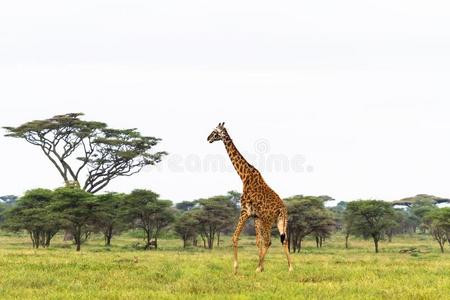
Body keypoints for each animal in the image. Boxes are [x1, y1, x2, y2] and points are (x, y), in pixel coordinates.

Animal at [207, 122, 294, 274]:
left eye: (215, 132)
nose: (208, 138)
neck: (244, 176)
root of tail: (282, 209)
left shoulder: (245, 211)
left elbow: (235, 237)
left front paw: (236, 268)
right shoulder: (255, 216)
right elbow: (258, 241)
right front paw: (262, 266)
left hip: (267, 220)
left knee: (269, 241)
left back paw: (257, 268)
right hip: (281, 221)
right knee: (284, 240)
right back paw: (289, 267)